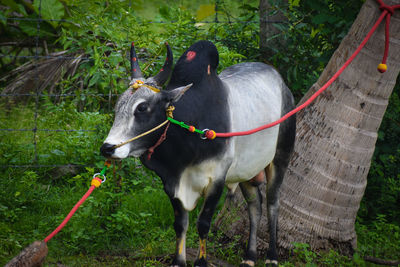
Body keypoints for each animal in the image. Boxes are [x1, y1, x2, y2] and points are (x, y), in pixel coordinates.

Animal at [99, 40, 296, 267]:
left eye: (142, 108)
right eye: (118, 107)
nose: (107, 148)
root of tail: (283, 85)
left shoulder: (216, 179)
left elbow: (203, 224)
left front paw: (201, 261)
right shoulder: (172, 184)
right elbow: (180, 224)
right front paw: (178, 261)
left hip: (281, 157)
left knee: (273, 203)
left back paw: (271, 257)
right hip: (247, 171)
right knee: (255, 206)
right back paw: (249, 257)